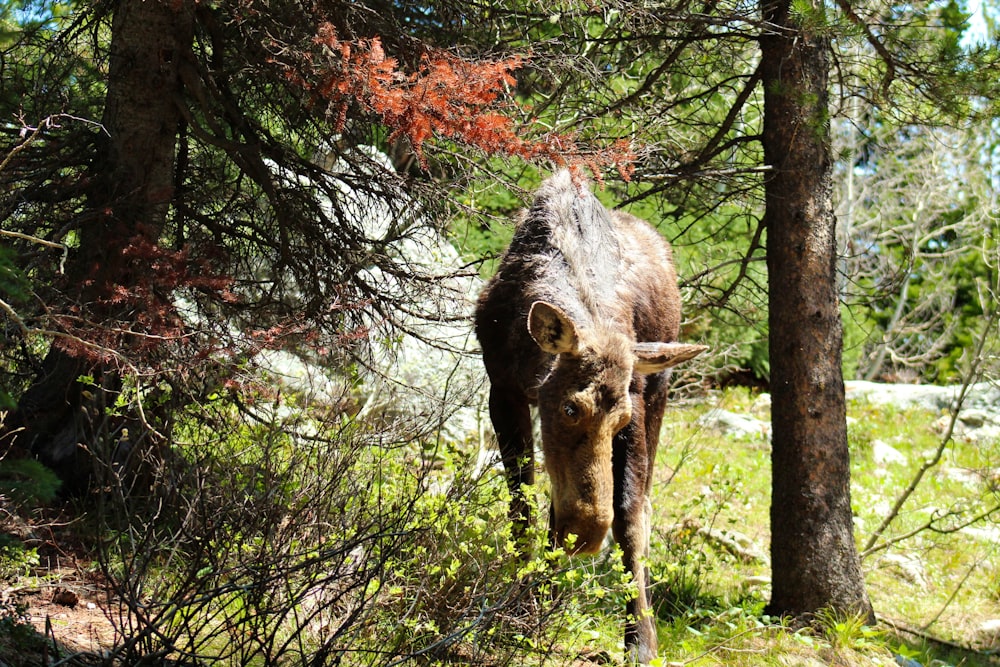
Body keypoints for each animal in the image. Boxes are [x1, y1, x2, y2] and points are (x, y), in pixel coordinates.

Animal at [474, 171, 704, 664]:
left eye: (618, 421)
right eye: (568, 407)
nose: (585, 537)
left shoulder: (634, 399)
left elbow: (627, 514)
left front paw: (640, 638)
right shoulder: (502, 388)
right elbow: (522, 502)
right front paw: (522, 608)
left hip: (660, 386)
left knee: (641, 506)